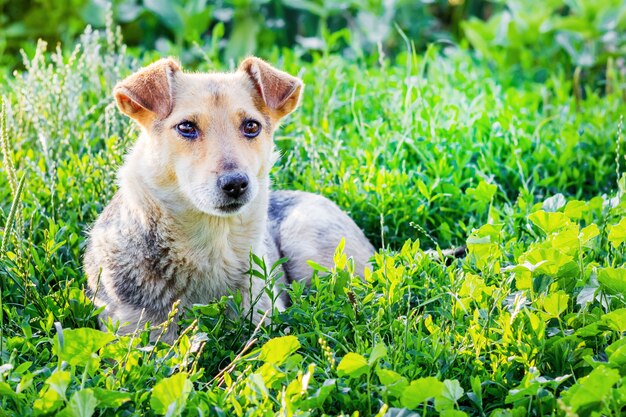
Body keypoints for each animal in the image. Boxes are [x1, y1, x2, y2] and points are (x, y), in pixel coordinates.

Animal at [83, 57, 376, 340]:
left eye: (251, 126)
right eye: (186, 127)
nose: (235, 183)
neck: (211, 243)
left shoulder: (264, 324)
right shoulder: (133, 337)